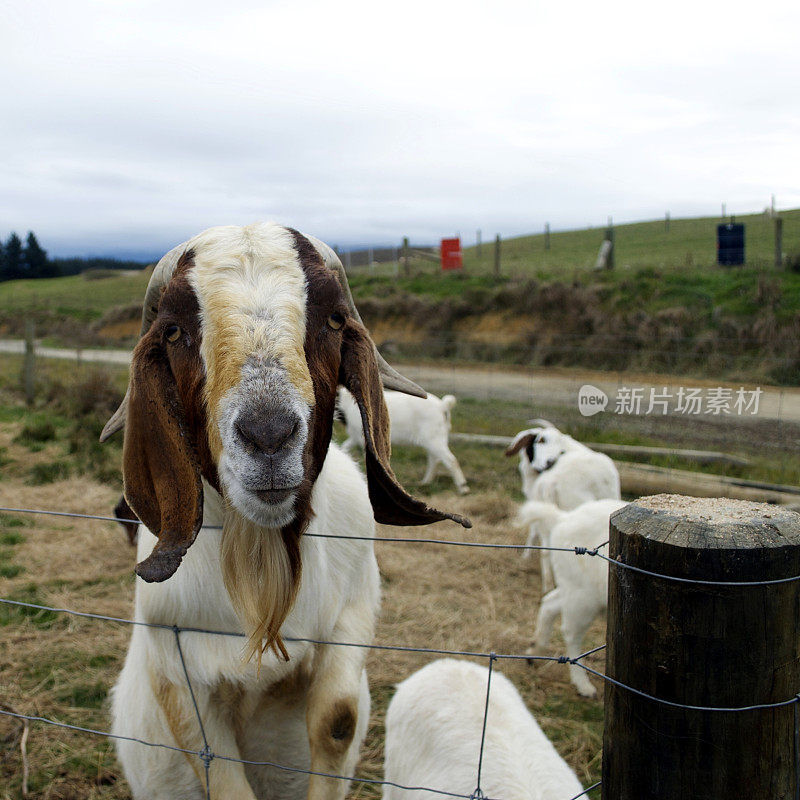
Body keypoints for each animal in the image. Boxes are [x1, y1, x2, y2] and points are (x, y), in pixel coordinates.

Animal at [338, 388, 468, 494]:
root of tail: (443, 405)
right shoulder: (355, 437)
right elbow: (345, 446)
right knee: (434, 459)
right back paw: (425, 482)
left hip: (433, 438)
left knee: (450, 460)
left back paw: (463, 488)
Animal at [506, 422, 620, 592]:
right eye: (540, 440)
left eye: (559, 447)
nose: (550, 461)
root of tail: (552, 482)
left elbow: (533, 530)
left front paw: (525, 556)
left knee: (546, 551)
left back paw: (548, 585)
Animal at [516, 496, 628, 696]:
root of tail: (563, 518)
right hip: (582, 598)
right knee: (571, 633)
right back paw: (583, 685)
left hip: (574, 588)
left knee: (549, 603)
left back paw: (534, 650)